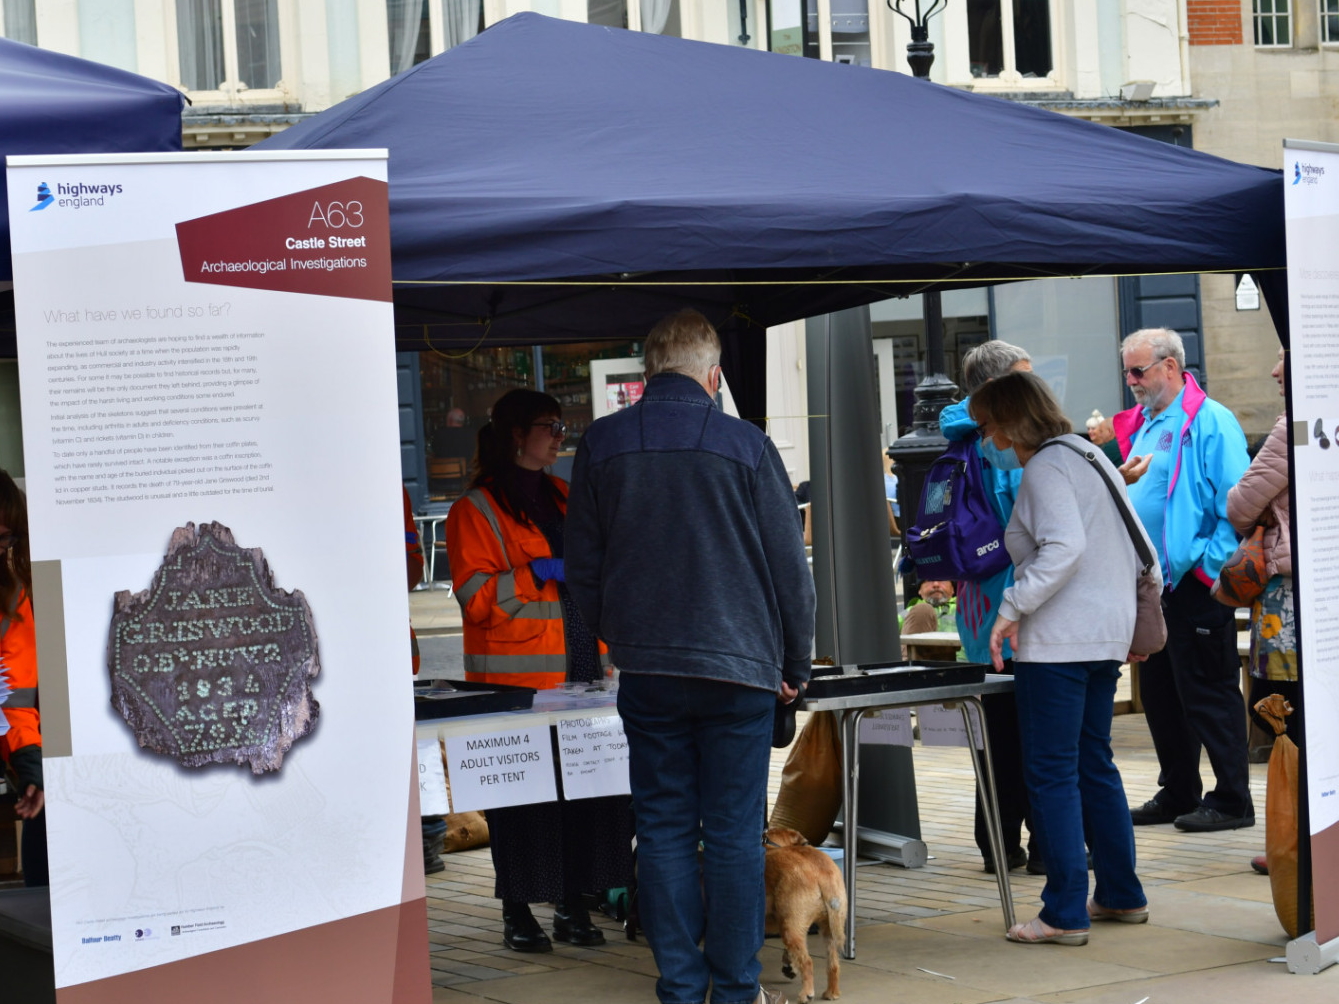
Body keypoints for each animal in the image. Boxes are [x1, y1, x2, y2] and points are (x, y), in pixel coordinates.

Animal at [765, 829, 846, 1001]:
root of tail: (821, 872)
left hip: (790, 927)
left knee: (808, 962)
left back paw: (806, 994)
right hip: (829, 927)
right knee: (833, 963)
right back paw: (832, 993)